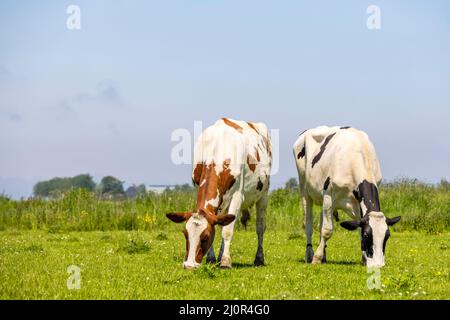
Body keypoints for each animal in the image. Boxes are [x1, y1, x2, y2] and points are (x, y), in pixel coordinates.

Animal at [165, 117, 270, 268]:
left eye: (205, 236)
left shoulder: (237, 196)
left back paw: (259, 259)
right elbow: (219, 226)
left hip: (264, 194)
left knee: (260, 227)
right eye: (185, 234)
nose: (189, 265)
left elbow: (227, 231)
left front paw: (225, 262)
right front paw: (212, 258)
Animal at [294, 126, 402, 268]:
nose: (378, 265)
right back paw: (310, 254)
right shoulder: (328, 196)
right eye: (367, 236)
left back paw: (324, 256)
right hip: (304, 189)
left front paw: (364, 259)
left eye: (387, 236)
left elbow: (356, 228)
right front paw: (316, 259)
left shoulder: (357, 204)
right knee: (309, 224)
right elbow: (327, 230)